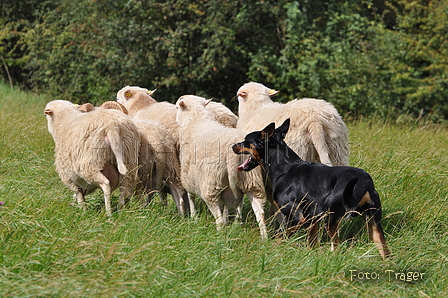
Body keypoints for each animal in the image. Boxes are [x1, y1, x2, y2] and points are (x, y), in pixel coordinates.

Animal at [175, 94, 268, 239]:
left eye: (177, 108)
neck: (196, 119)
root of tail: (233, 155)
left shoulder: (188, 175)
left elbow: (190, 196)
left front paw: (194, 217)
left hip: (212, 184)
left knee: (217, 216)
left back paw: (218, 235)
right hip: (252, 180)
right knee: (260, 213)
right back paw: (264, 238)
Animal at [233, 118, 390, 258]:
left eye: (246, 141)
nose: (233, 146)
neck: (285, 167)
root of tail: (363, 179)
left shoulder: (294, 217)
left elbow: (280, 239)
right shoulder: (312, 219)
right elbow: (312, 243)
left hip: (331, 219)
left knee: (337, 247)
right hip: (374, 222)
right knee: (385, 251)